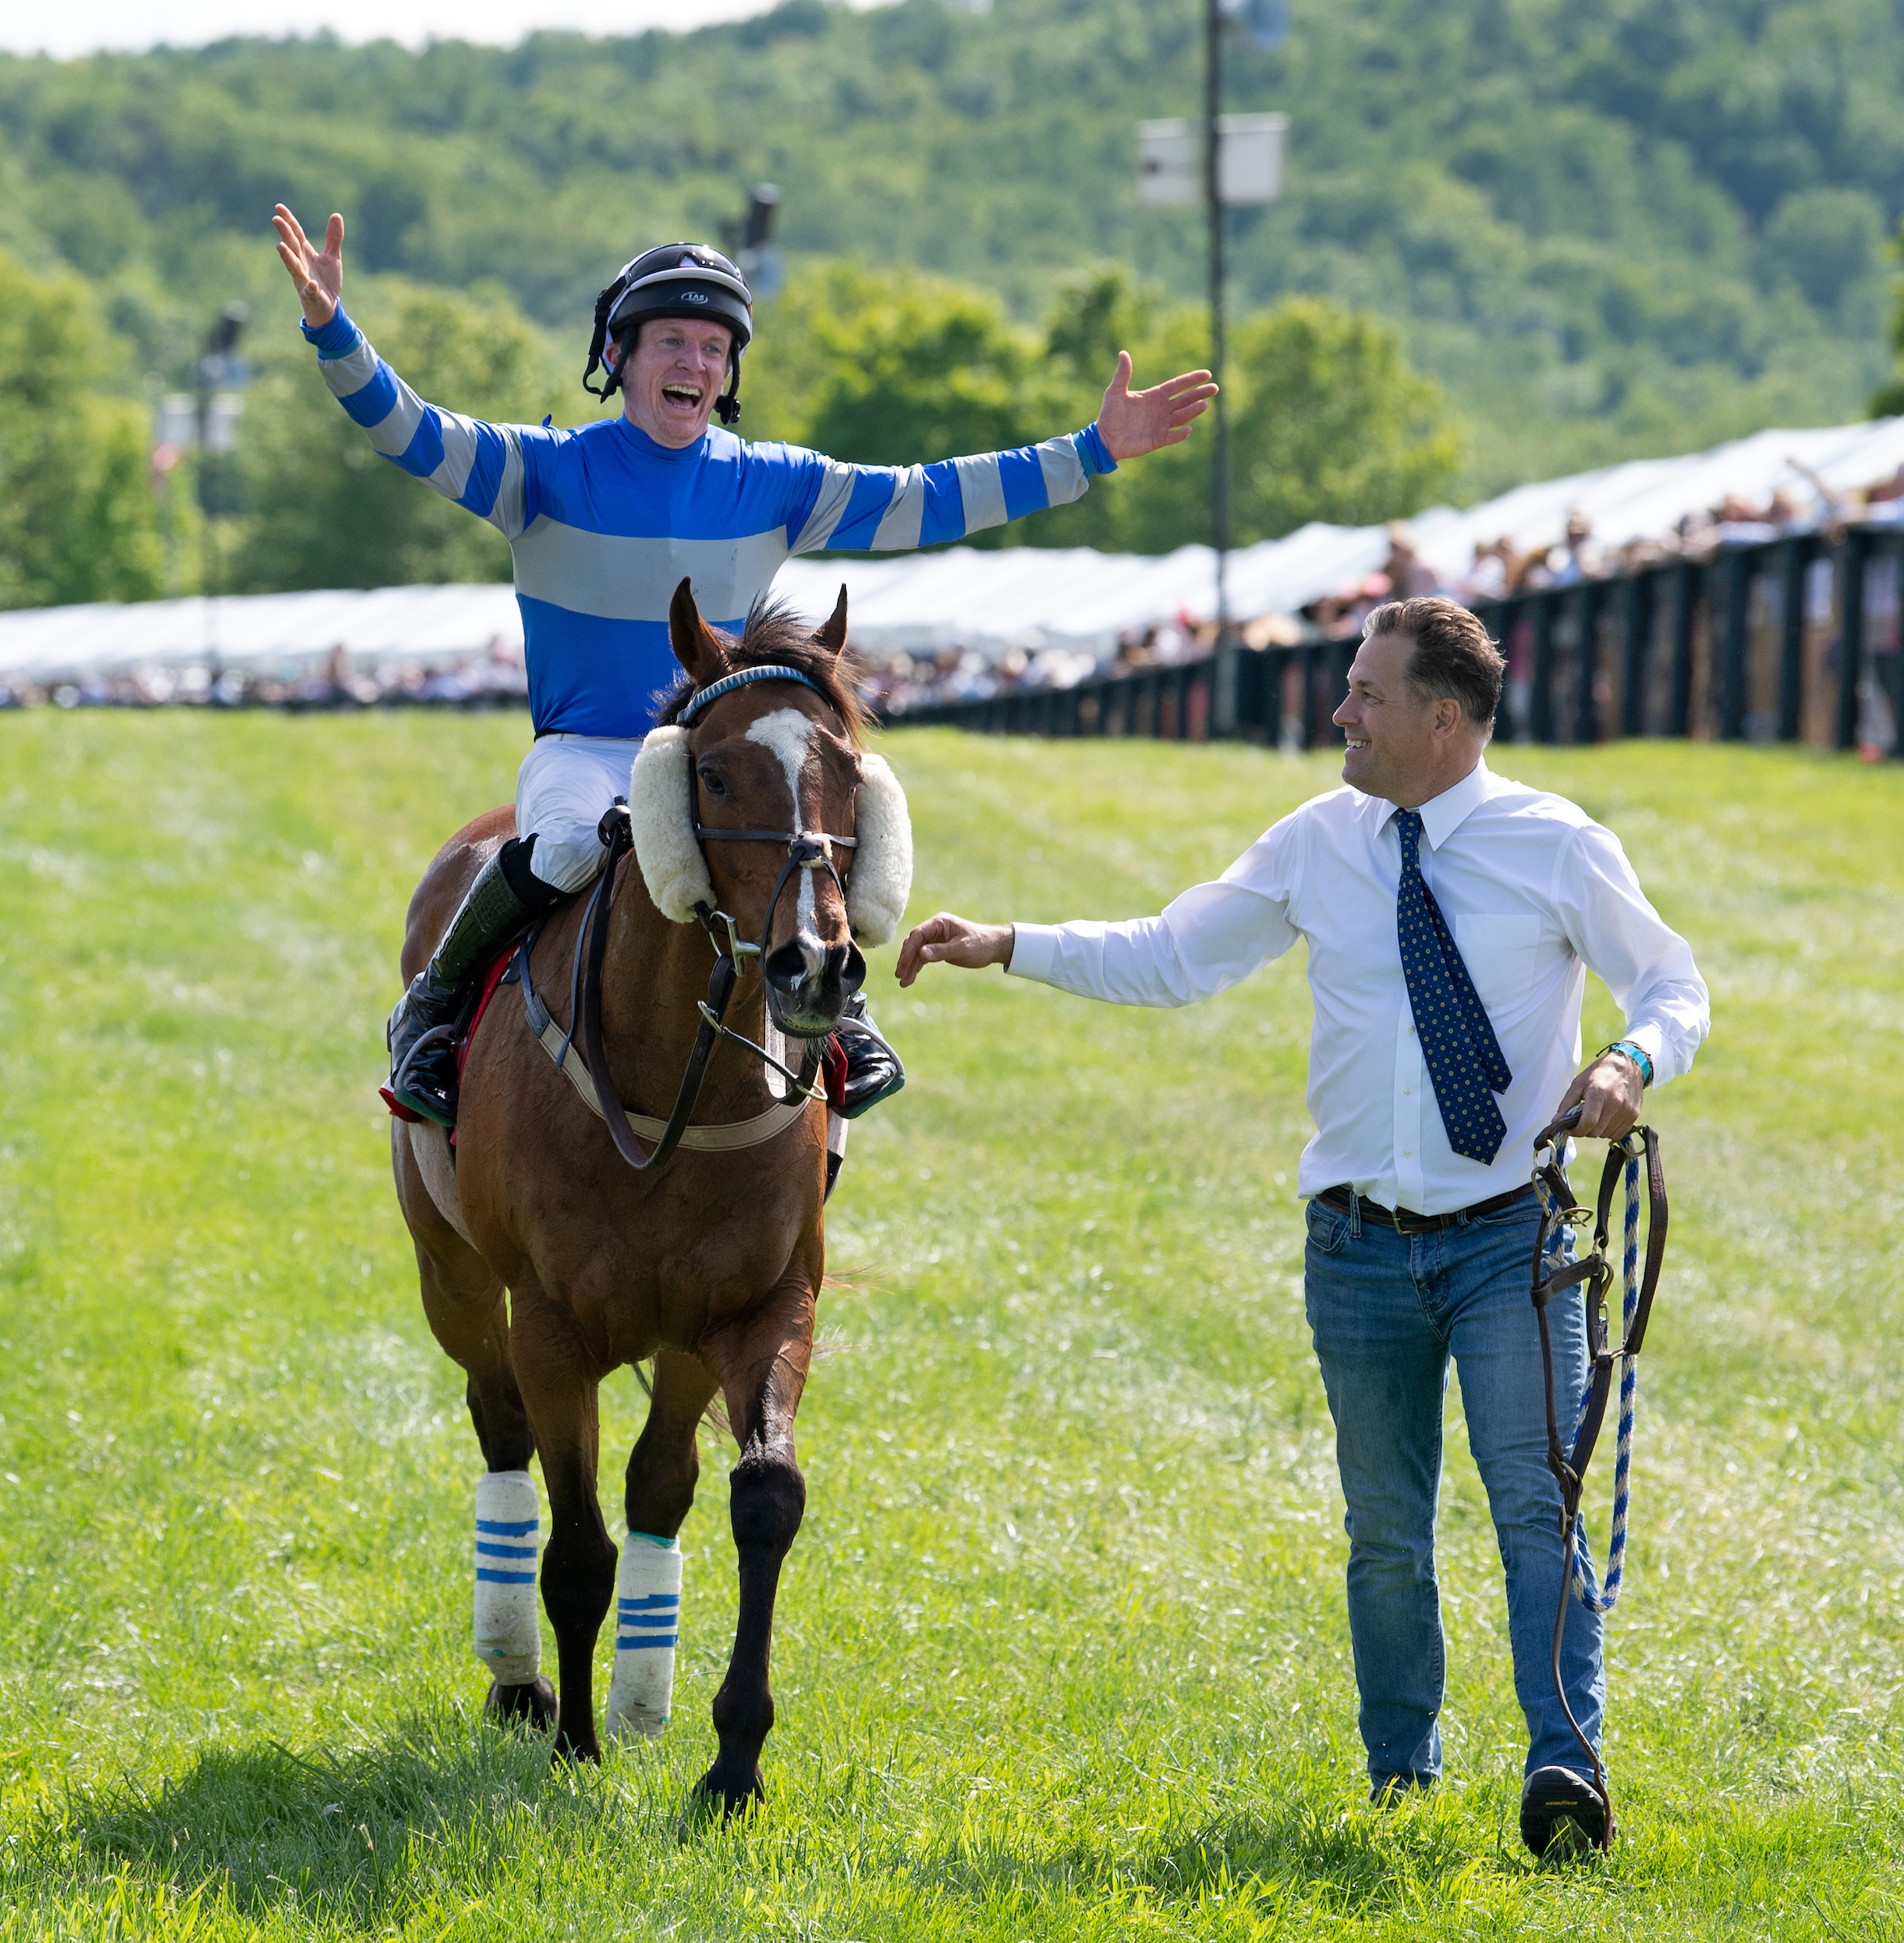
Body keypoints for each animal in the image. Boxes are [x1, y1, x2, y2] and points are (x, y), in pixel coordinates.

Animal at [386, 579, 909, 1803]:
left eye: (846, 767)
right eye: (712, 773)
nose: (819, 965)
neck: (676, 1073)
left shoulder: (761, 1304)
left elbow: (761, 1498)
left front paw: (732, 1759)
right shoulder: (551, 1322)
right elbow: (576, 1545)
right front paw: (574, 1738)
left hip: (677, 1333)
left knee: (662, 1479)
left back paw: (639, 1698)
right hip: (452, 1276)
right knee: (499, 1426)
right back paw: (523, 1681)